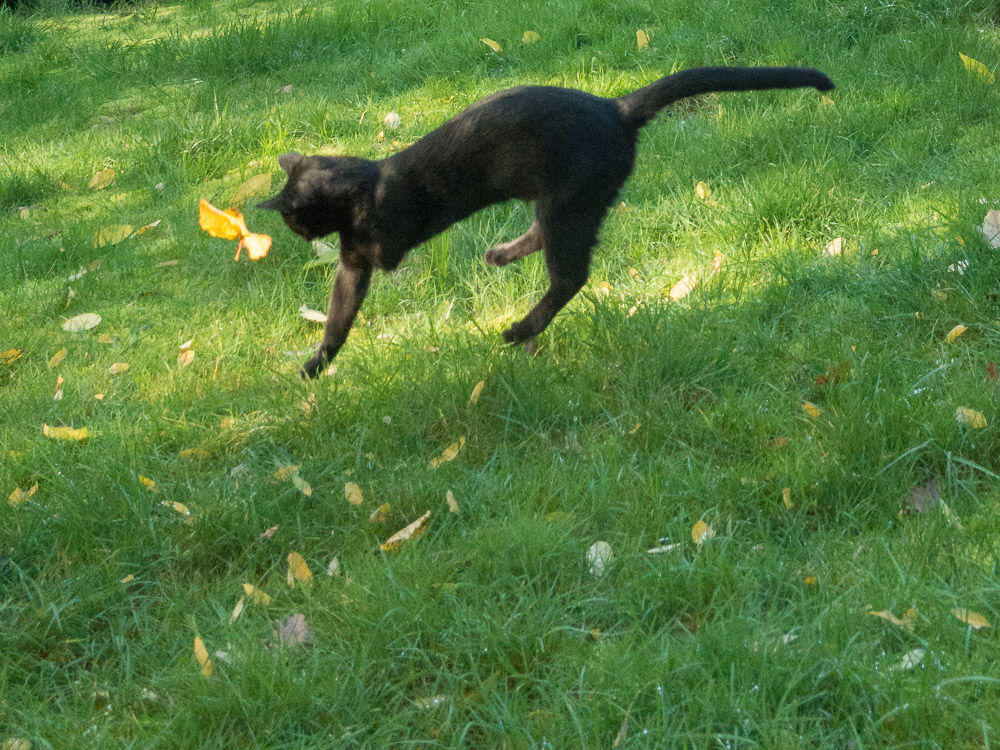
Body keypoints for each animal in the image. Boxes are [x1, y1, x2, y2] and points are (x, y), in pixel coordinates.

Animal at [256, 65, 828, 378]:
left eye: (295, 224)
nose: (300, 239)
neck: (365, 183)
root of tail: (615, 107)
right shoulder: (353, 264)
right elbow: (337, 318)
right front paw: (315, 365)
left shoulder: (376, 251)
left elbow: (353, 293)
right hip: (562, 203)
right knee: (547, 247)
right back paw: (499, 257)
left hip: (569, 204)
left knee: (571, 276)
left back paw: (519, 329)